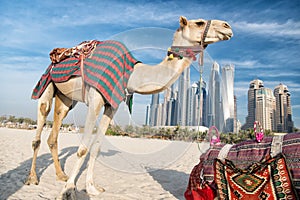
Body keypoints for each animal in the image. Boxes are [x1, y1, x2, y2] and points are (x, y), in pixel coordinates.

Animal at [25, 16, 232, 199]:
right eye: (199, 22)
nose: (227, 27)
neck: (131, 74)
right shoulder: (95, 98)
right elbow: (83, 148)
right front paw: (68, 192)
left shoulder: (111, 105)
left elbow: (96, 147)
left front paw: (92, 188)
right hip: (47, 83)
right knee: (41, 120)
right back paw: (33, 178)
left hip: (66, 98)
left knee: (55, 128)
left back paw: (61, 175)